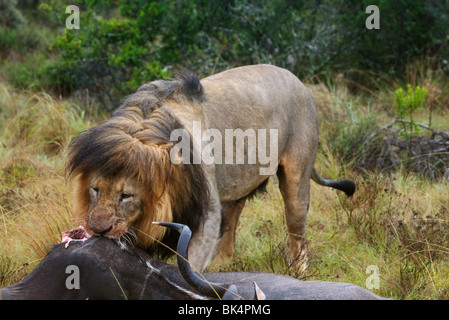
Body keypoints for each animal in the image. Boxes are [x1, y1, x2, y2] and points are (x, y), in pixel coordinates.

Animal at [65, 64, 354, 270]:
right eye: (95, 189)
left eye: (126, 195)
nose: (99, 230)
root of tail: (298, 80)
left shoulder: (206, 214)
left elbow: (190, 265)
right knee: (231, 229)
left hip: (296, 176)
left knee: (297, 231)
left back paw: (296, 271)